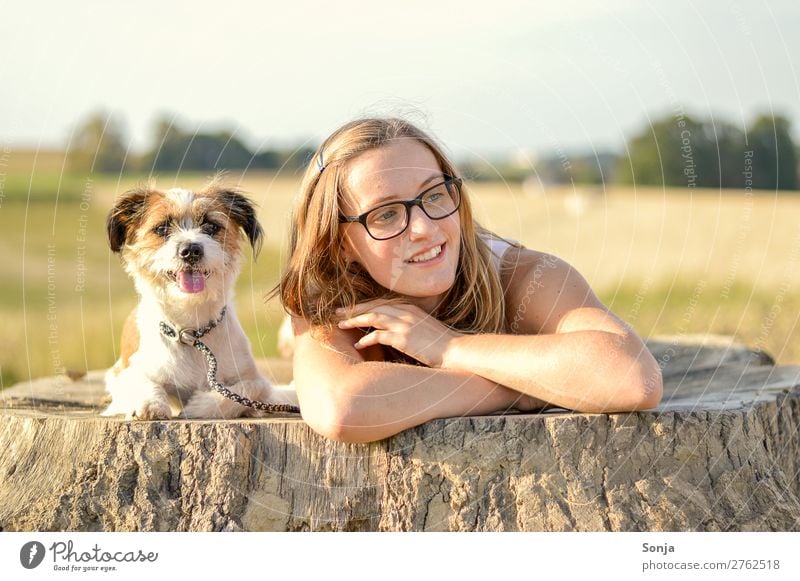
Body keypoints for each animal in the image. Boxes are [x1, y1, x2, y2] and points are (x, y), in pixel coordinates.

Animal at [101, 180, 296, 416]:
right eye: (162, 229)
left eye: (211, 226)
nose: (191, 250)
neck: (192, 333)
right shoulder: (123, 372)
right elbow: (139, 381)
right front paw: (151, 403)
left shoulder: (256, 381)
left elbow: (246, 390)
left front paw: (201, 406)